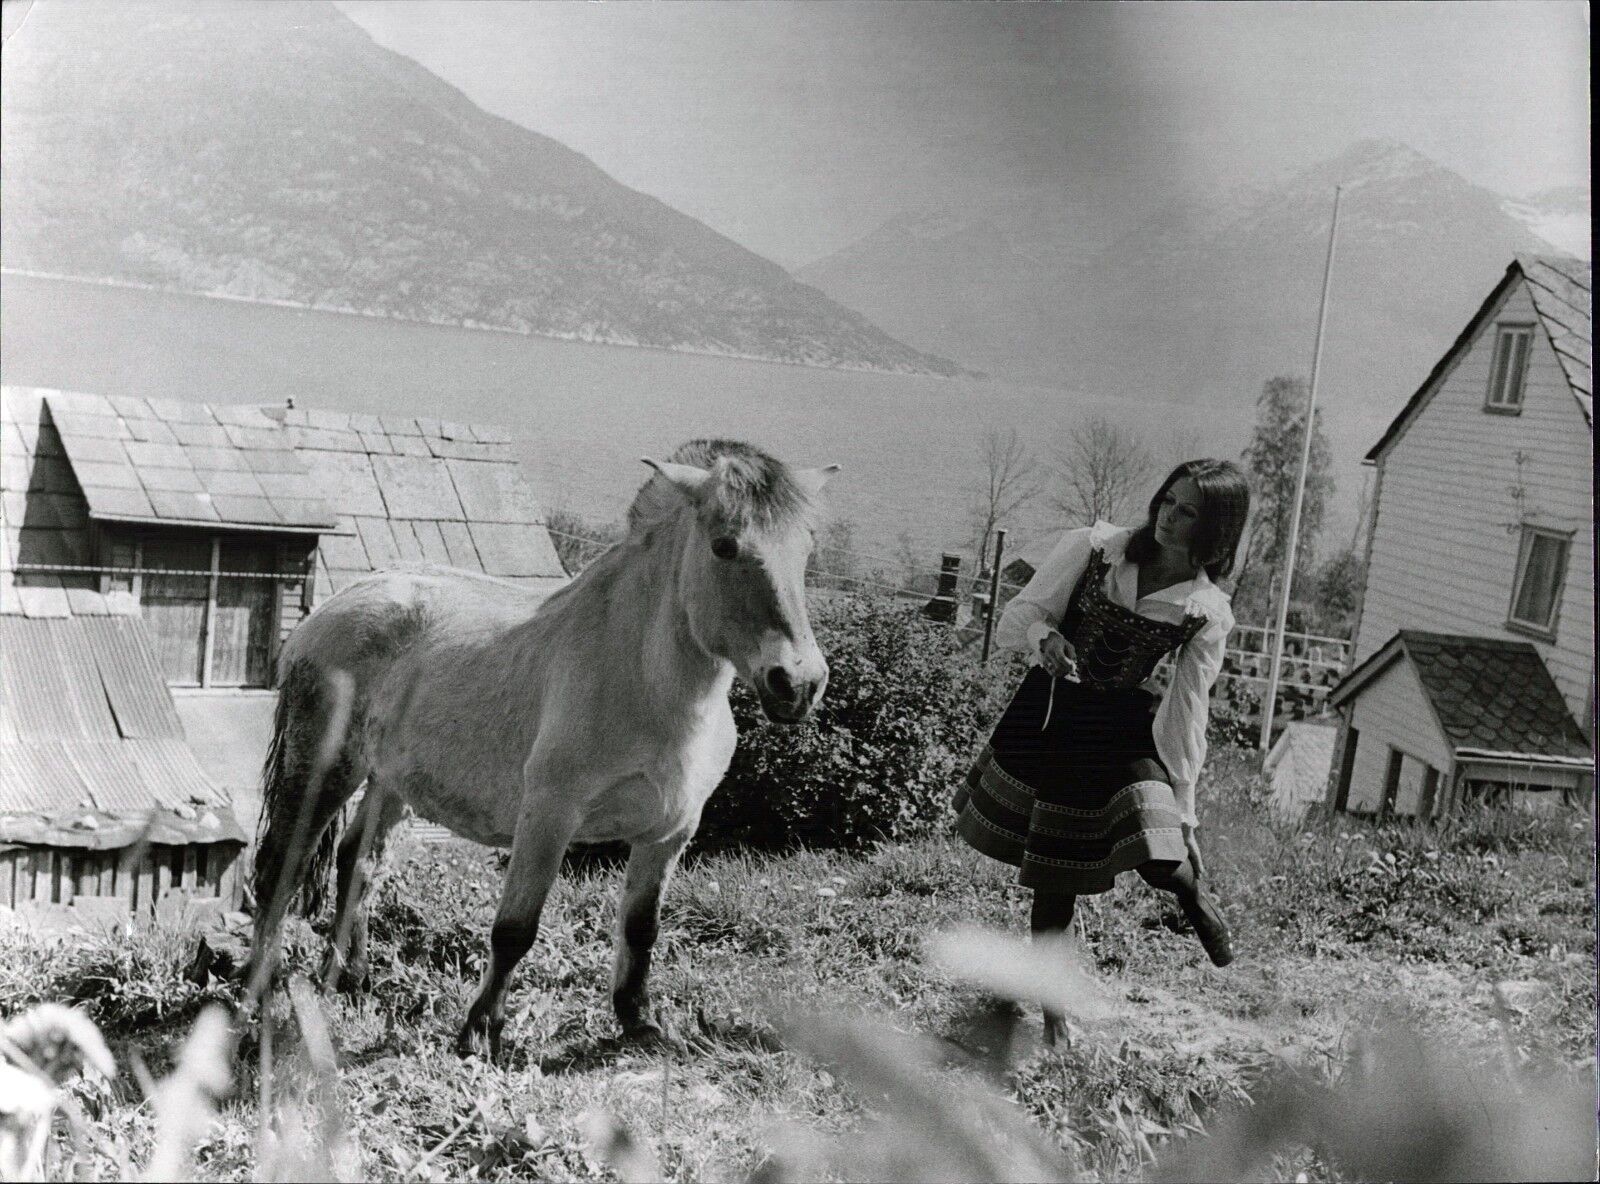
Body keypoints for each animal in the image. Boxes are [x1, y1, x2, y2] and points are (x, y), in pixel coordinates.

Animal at [244, 438, 838, 1056]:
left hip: (390, 780)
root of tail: (331, 608)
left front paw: (639, 1022)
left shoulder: (669, 833)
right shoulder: (548, 817)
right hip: (324, 767)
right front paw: (480, 1032)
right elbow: (514, 930)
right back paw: (260, 994)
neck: (644, 685)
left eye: (806, 548)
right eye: (724, 545)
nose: (798, 683)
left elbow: (641, 928)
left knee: (358, 861)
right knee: (278, 871)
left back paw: (348, 979)